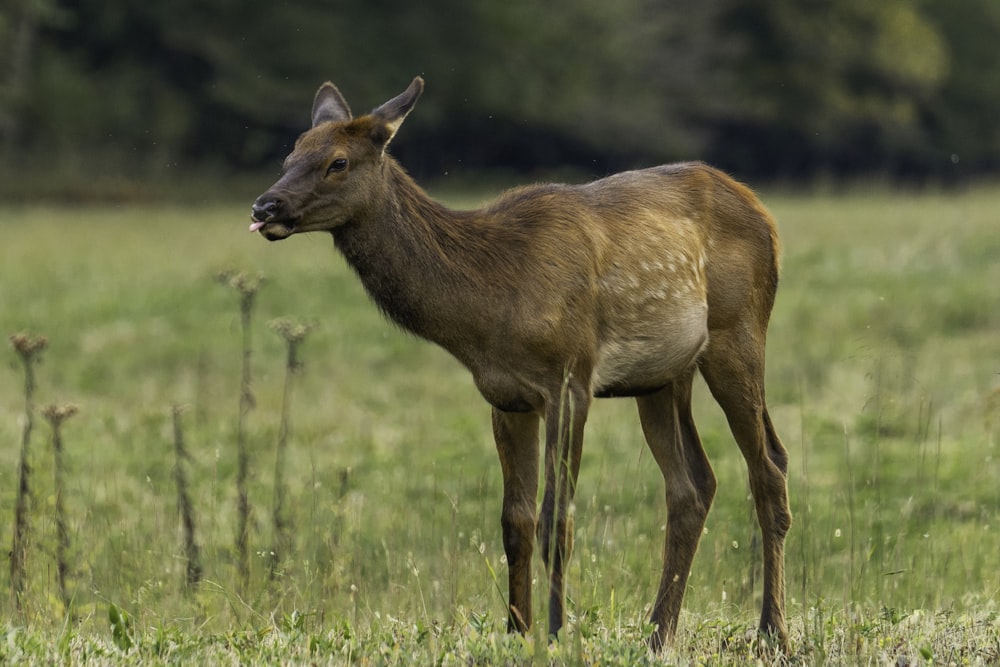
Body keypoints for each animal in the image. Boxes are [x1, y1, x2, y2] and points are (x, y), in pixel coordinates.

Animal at [248, 78, 788, 652]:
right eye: (289, 156)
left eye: (338, 162)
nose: (265, 205)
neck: (491, 301)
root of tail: (765, 215)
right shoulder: (505, 397)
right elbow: (516, 522)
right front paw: (516, 629)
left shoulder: (571, 379)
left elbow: (557, 522)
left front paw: (555, 632)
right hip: (662, 376)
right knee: (693, 485)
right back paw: (658, 634)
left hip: (738, 331)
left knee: (768, 467)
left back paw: (771, 632)